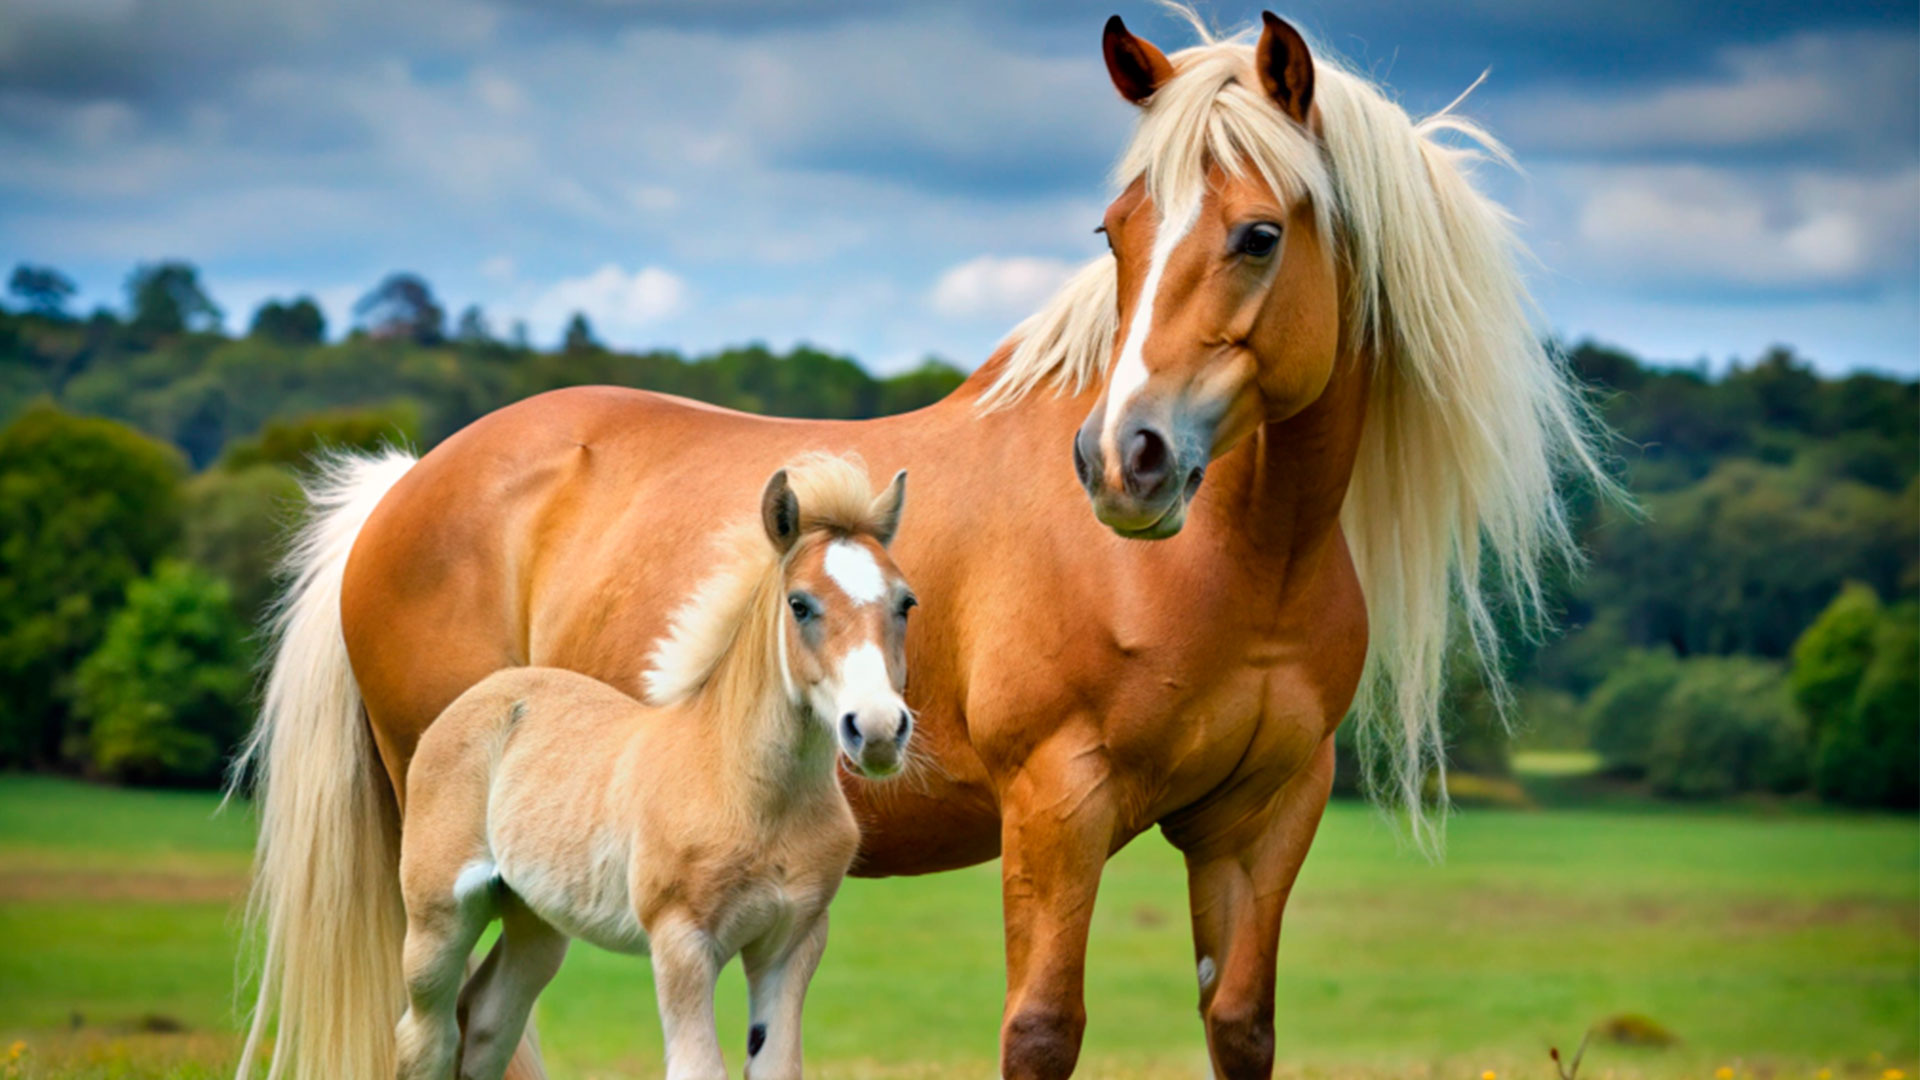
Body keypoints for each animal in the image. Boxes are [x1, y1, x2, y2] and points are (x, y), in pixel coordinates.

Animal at [385, 453, 910, 1076]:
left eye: (906, 603)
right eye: (800, 604)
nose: (877, 729)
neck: (745, 788)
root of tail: (484, 696)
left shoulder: (794, 940)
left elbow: (776, 1065)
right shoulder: (680, 940)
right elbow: (697, 1067)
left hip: (535, 918)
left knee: (488, 1022)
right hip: (438, 917)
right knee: (426, 1038)